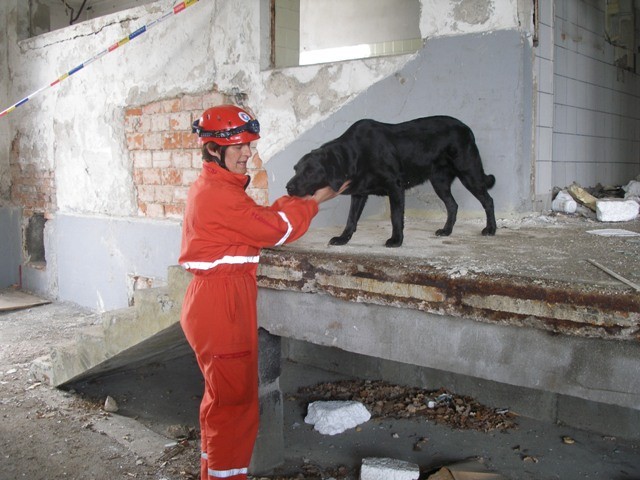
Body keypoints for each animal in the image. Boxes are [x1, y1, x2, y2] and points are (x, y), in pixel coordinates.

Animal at [288, 116, 498, 248]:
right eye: (295, 169)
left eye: (310, 171)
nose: (288, 187)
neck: (356, 153)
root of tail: (466, 128)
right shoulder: (359, 193)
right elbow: (351, 219)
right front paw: (343, 239)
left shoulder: (395, 186)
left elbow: (395, 216)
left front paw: (396, 240)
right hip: (439, 181)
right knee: (452, 205)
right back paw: (446, 231)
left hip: (469, 173)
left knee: (488, 200)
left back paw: (491, 229)